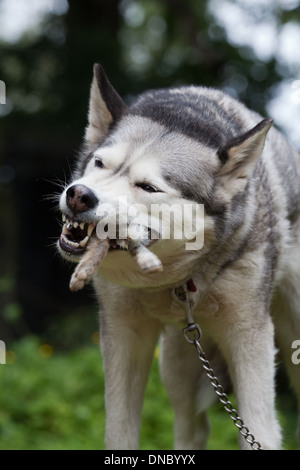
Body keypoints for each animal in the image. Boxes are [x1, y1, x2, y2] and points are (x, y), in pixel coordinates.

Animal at [58, 64, 300, 450]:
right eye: (99, 163)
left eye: (148, 187)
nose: (79, 195)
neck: (172, 281)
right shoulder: (124, 333)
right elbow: (119, 432)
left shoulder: (250, 339)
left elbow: (259, 430)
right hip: (178, 363)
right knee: (192, 427)